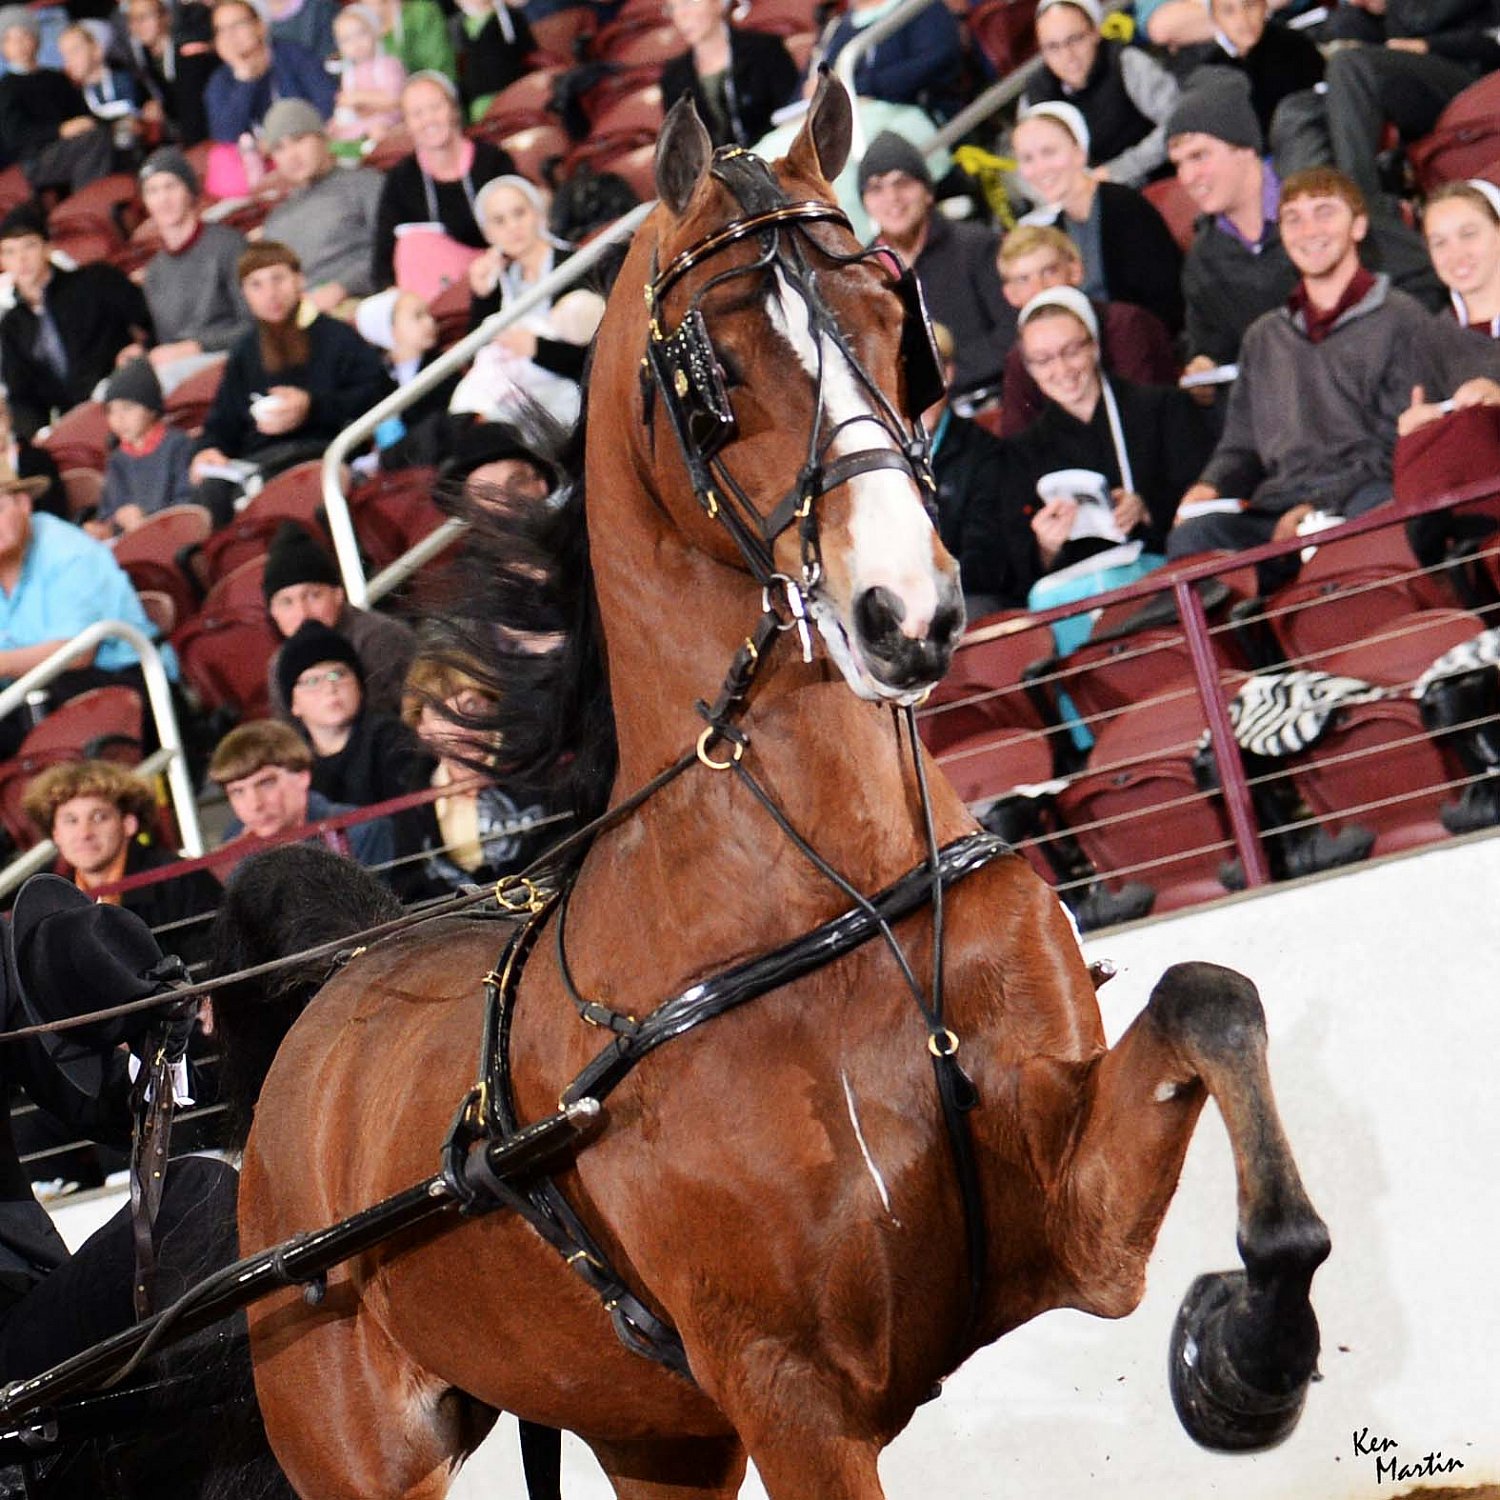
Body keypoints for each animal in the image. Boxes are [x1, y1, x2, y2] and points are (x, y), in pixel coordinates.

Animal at [218, 78, 1330, 1499]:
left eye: (893, 327)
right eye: (716, 372)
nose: (906, 610)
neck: (823, 894)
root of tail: (332, 1000)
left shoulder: (1075, 1229)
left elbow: (1208, 995)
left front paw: (1252, 1343)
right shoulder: (791, 1391)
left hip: (657, 1434)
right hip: (364, 1454)